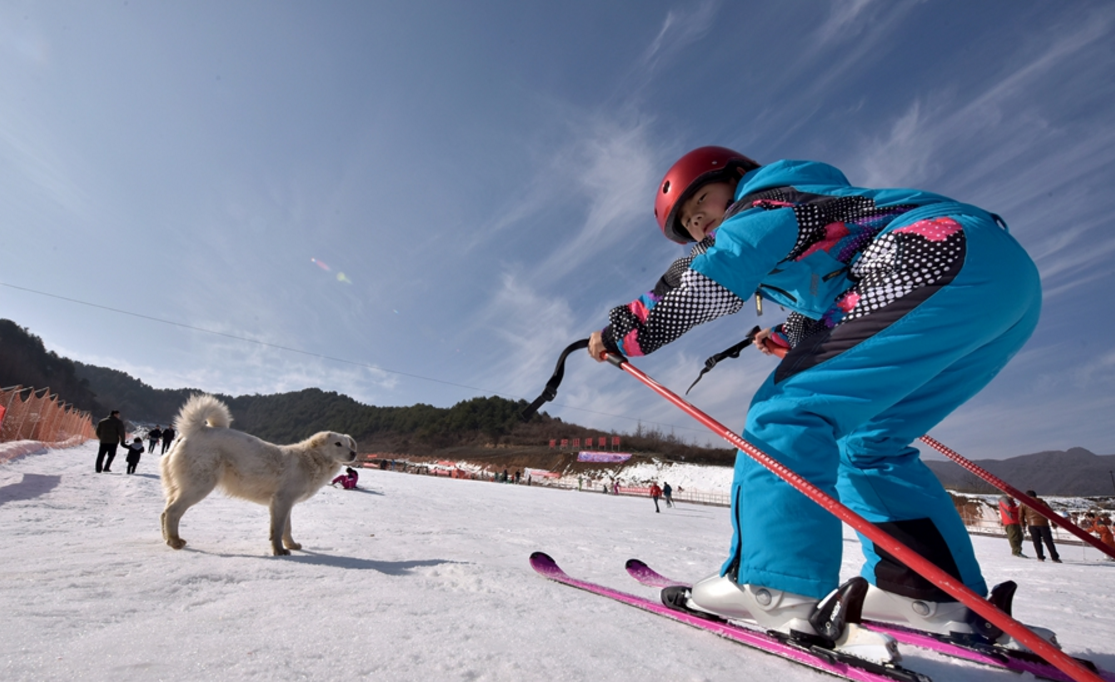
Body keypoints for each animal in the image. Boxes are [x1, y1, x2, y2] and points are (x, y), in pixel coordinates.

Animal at [160, 394, 356, 554]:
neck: (312, 459)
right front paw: (279, 551)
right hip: (199, 485)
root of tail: (198, 430)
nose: (354, 454)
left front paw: (291, 545)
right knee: (172, 511)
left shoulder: (286, 503)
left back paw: (168, 539)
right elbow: (278, 530)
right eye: (338, 444)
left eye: (349, 444)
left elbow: (287, 528)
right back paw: (175, 542)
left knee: (165, 512)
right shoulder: (282, 501)